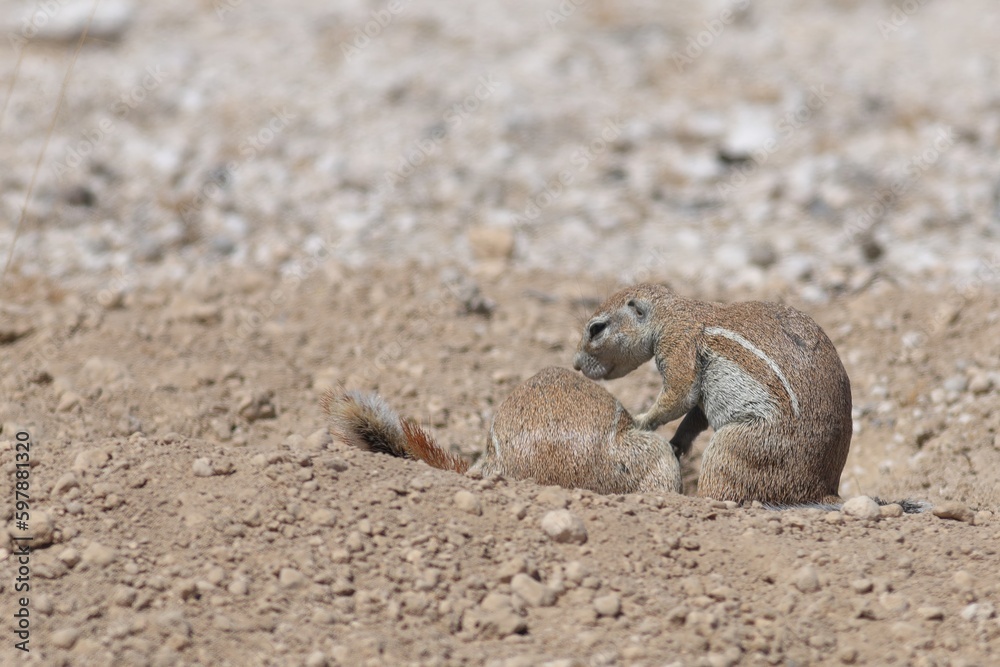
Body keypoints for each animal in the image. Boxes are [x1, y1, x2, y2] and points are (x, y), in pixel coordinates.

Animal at [572, 284, 852, 506]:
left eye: (596, 329)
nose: (575, 364)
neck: (670, 314)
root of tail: (823, 489)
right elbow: (695, 414)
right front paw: (677, 442)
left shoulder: (678, 346)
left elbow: (679, 395)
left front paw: (641, 421)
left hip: (737, 448)